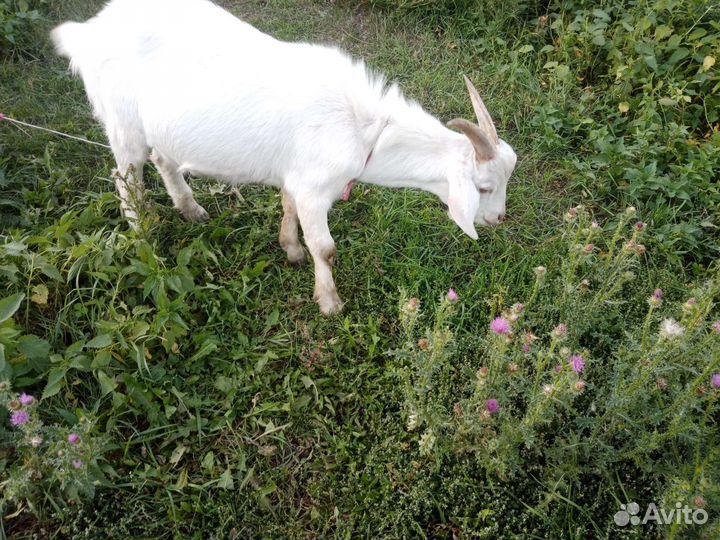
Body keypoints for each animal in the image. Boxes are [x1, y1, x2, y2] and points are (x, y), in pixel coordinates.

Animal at [52, 0, 517, 315]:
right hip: (122, 123)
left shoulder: (297, 177)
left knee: (164, 161)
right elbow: (325, 248)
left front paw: (290, 250)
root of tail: (88, 32)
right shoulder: (315, 190)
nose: (498, 219)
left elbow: (287, 206)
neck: (361, 129)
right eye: (483, 187)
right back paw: (143, 238)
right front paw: (329, 302)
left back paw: (190, 209)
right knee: (126, 176)